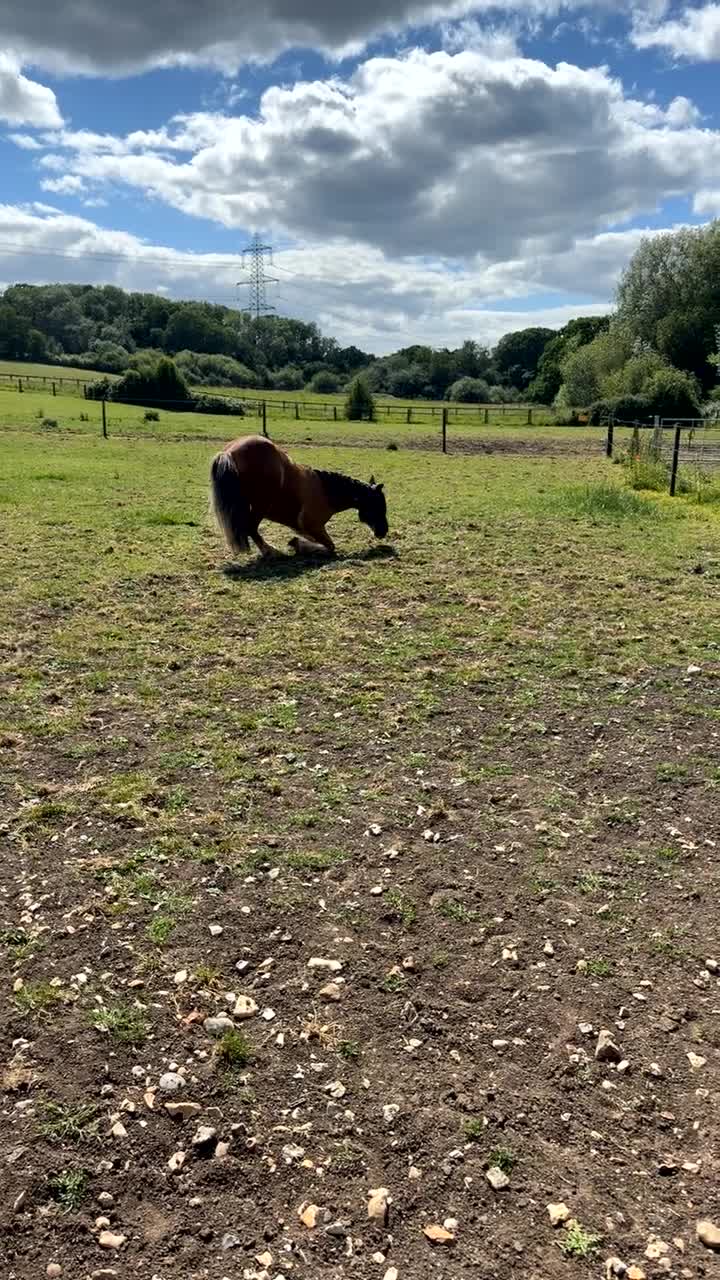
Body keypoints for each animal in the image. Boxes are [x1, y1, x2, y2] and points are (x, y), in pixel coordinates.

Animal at [210, 434, 389, 558]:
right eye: (378, 505)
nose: (383, 531)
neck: (326, 491)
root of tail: (228, 452)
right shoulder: (313, 525)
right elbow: (330, 546)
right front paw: (299, 545)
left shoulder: (304, 528)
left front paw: (298, 544)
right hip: (260, 505)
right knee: (251, 528)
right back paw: (270, 552)